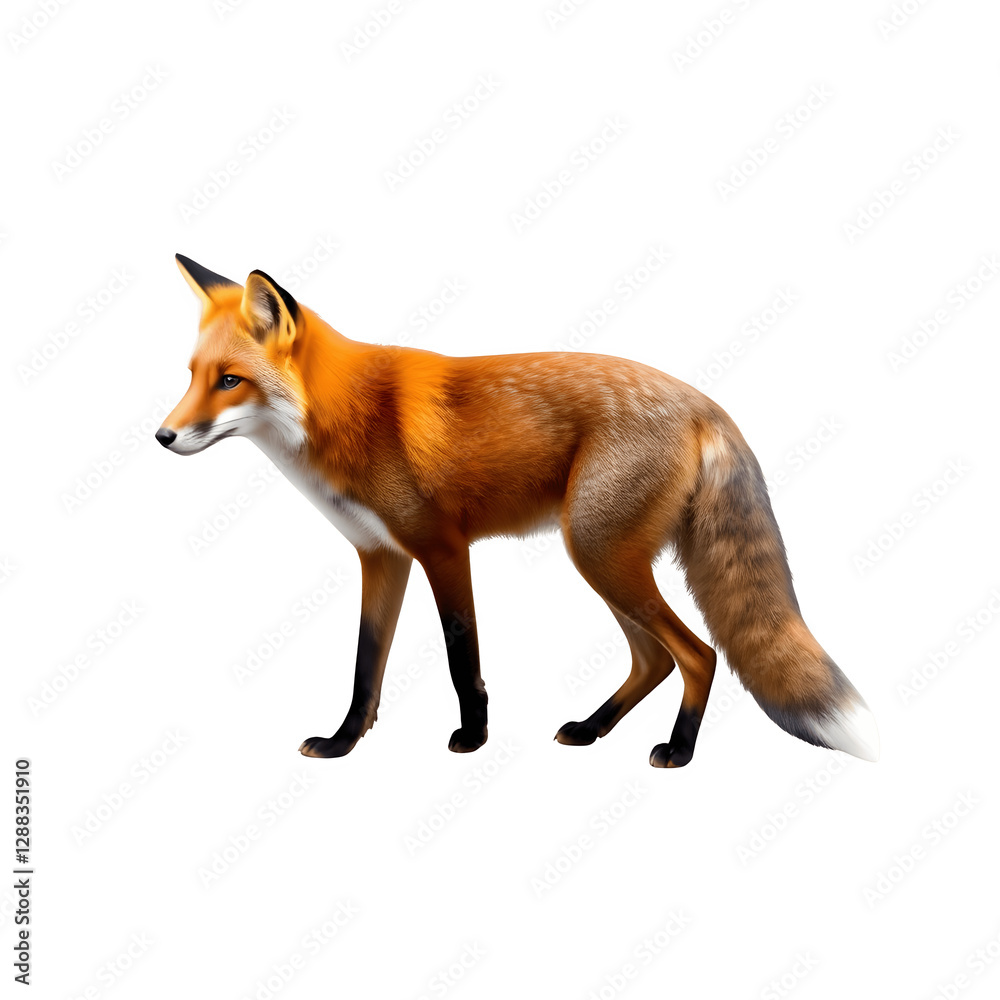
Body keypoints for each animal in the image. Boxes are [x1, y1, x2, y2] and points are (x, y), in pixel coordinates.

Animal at [158, 254, 878, 768]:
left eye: (230, 381)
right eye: (191, 376)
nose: (163, 437)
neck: (349, 415)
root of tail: (706, 403)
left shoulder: (442, 549)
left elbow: (461, 655)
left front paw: (472, 738)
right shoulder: (380, 556)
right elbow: (365, 667)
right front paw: (343, 744)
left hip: (598, 554)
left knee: (698, 654)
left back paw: (678, 750)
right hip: (604, 557)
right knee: (655, 660)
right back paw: (591, 729)